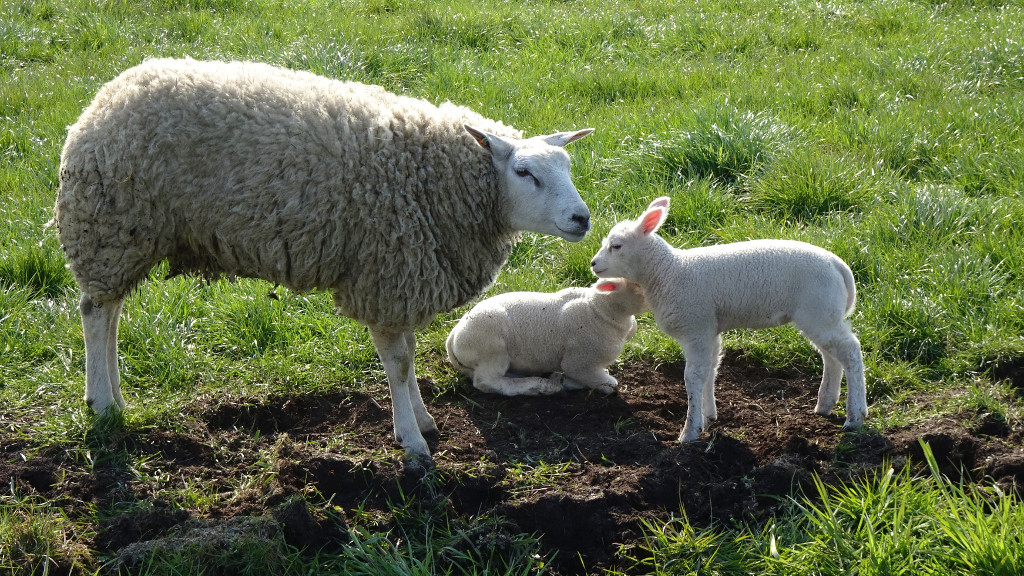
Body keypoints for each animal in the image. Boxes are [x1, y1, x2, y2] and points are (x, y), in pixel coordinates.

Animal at [56, 58, 598, 459]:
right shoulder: (386, 270)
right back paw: (102, 404)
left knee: (111, 312)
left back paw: (114, 398)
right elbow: (398, 361)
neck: (441, 178)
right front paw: (412, 441)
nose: (582, 219)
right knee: (95, 312)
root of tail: (106, 95)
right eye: (524, 172)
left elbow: (408, 354)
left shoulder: (403, 276)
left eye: (568, 166)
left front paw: (422, 419)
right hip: (112, 228)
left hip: (126, 237)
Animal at [442, 276, 647, 393]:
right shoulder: (581, 363)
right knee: (487, 382)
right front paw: (565, 382)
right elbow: (608, 385)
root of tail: (453, 336)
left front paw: (561, 379)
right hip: (491, 349)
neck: (598, 309)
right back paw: (540, 387)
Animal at [589, 194, 868, 440]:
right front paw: (708, 416)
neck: (668, 272)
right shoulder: (709, 330)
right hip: (822, 314)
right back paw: (826, 404)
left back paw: (855, 417)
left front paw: (689, 432)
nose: (593, 263)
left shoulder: (695, 328)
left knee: (851, 352)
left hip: (819, 311)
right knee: (831, 357)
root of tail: (837, 265)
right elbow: (710, 371)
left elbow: (693, 376)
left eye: (616, 246)